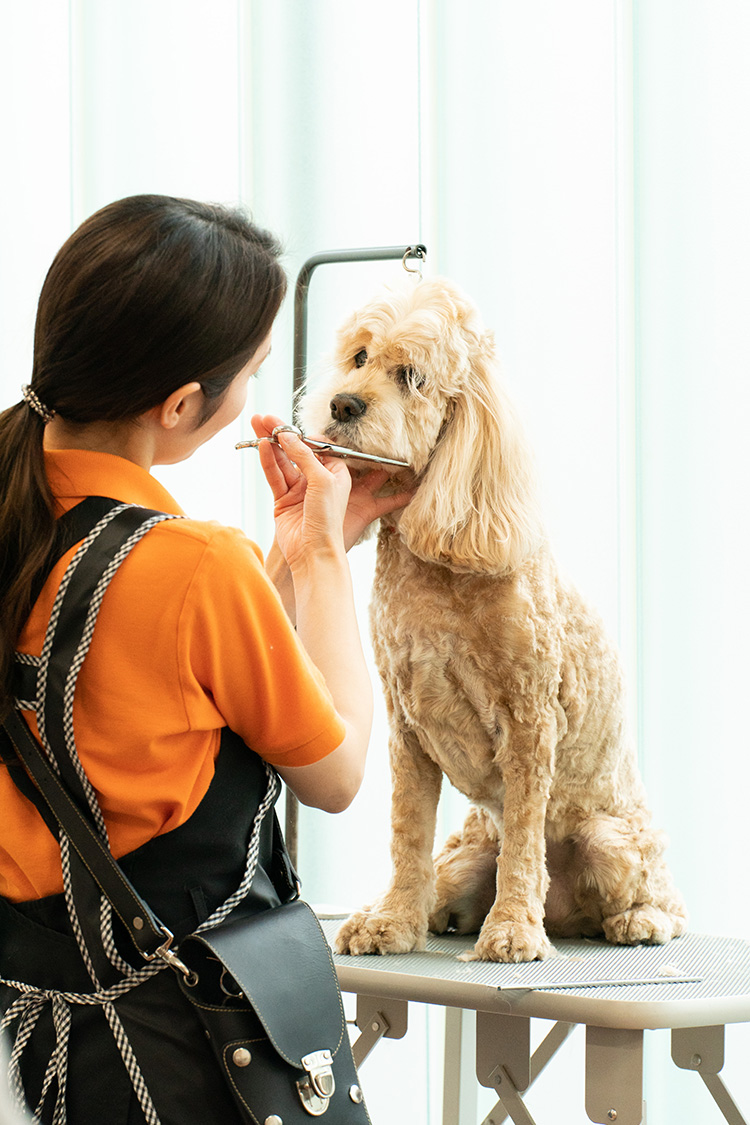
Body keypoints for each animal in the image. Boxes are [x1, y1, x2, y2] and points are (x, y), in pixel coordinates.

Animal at [299, 272, 688, 958]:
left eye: (412, 376)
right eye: (359, 358)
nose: (343, 406)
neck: (438, 571)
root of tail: (569, 914)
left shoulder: (531, 720)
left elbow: (526, 838)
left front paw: (510, 929)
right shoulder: (405, 727)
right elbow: (407, 834)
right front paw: (391, 920)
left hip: (612, 841)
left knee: (661, 898)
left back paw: (634, 920)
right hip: (466, 853)